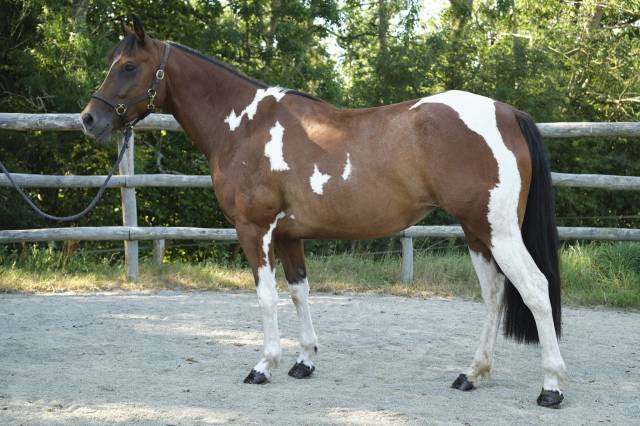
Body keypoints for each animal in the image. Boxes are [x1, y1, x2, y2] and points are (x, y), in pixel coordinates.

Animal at [80, 17, 567, 408]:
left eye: (128, 66)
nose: (89, 119)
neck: (244, 126)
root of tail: (506, 112)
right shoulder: (288, 235)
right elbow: (299, 292)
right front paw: (304, 361)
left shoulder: (254, 230)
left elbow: (266, 297)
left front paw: (264, 365)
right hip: (475, 231)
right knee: (495, 294)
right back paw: (473, 374)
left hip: (497, 230)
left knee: (535, 289)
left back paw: (551, 387)